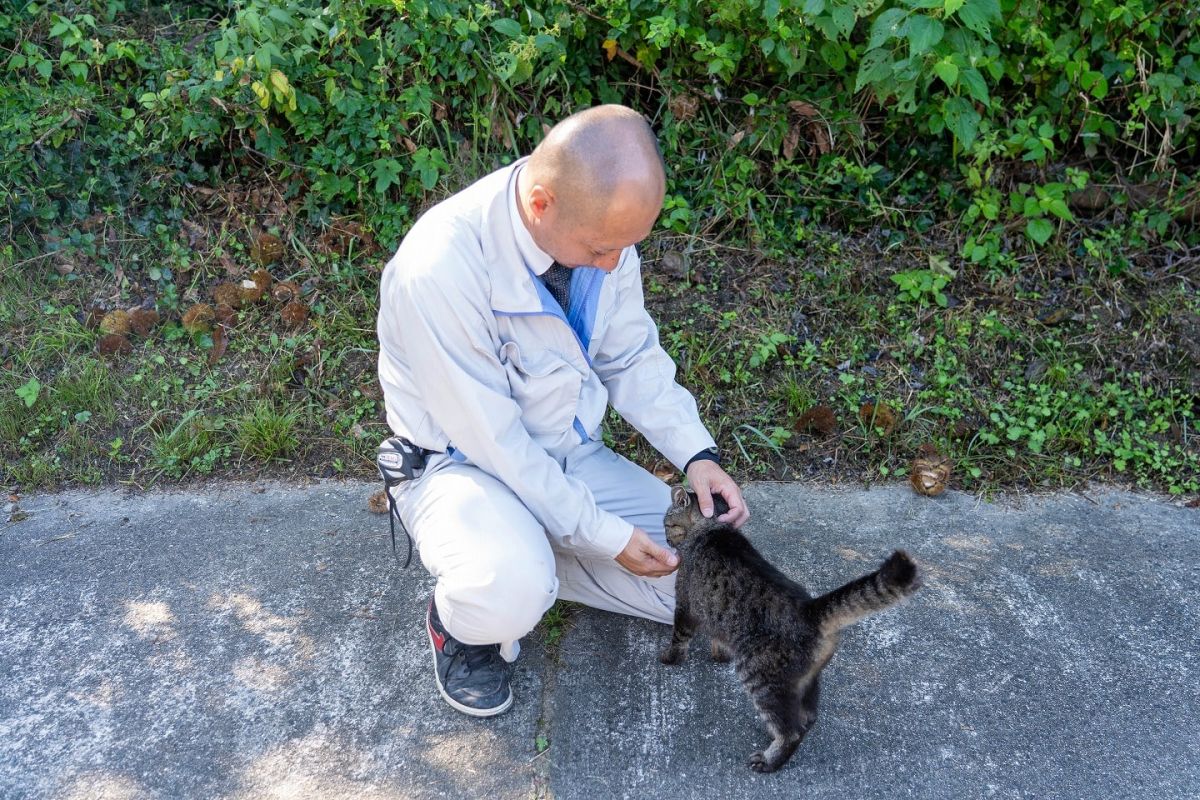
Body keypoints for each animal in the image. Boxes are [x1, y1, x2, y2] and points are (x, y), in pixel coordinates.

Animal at [662, 484, 921, 772]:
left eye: (666, 523)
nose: (666, 540)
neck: (712, 526)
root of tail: (810, 609)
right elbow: (717, 637)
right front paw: (720, 654)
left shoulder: (685, 606)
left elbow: (679, 638)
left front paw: (670, 658)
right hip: (804, 681)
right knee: (807, 718)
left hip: (761, 679)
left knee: (792, 730)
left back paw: (770, 759)